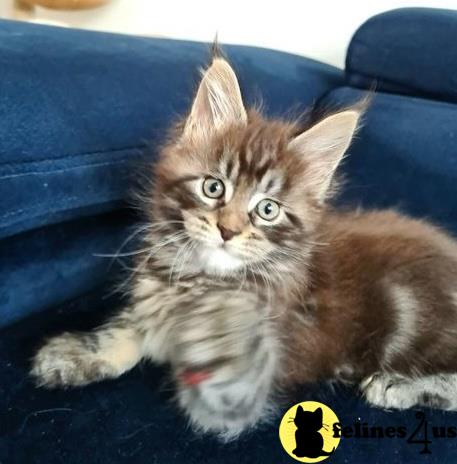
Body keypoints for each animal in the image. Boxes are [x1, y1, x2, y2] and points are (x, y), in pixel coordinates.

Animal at [32, 52, 457, 440]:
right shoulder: (153, 298)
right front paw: (79, 353)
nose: (227, 230)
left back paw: (396, 384)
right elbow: (128, 328)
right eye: (213, 187)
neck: (201, 278)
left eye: (267, 210)